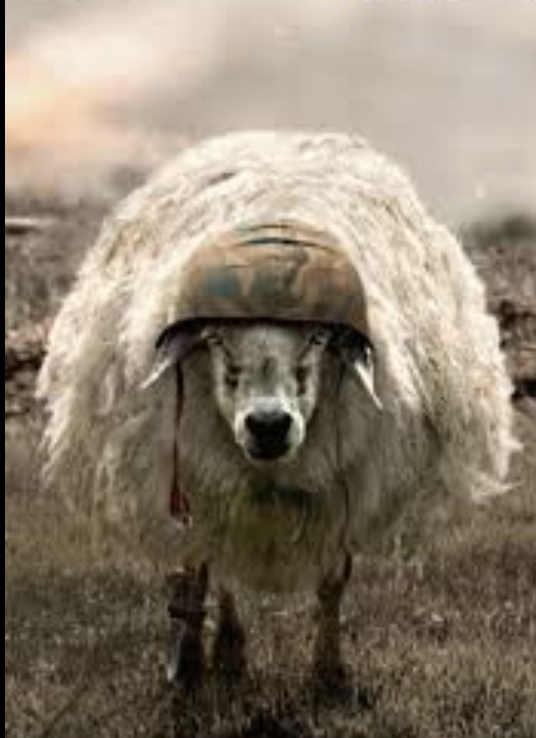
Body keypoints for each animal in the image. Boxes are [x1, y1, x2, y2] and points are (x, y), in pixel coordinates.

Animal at [38, 131, 516, 687]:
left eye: (317, 338)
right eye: (216, 339)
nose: (268, 426)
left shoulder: (344, 488)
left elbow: (332, 584)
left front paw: (329, 673)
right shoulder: (202, 478)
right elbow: (207, 564)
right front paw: (208, 653)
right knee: (213, 564)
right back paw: (219, 649)